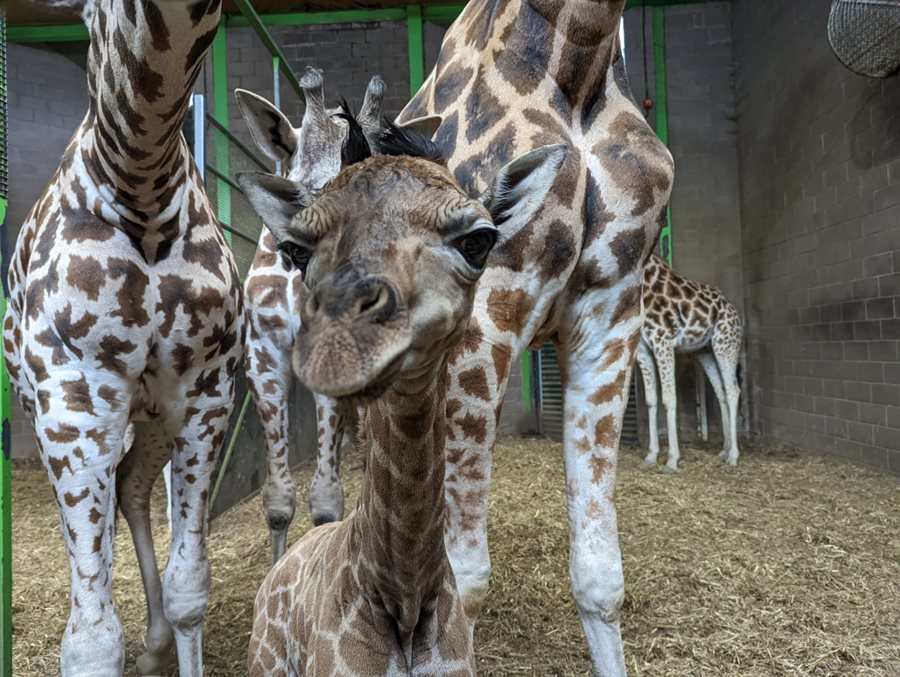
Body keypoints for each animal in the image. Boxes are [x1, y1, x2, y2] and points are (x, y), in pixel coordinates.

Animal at [1, 2, 243, 672]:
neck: (141, 184)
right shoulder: (73, 402)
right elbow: (91, 640)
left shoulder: (205, 393)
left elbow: (191, 589)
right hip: (47, 413)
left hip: (151, 411)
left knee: (131, 487)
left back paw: (156, 647)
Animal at [636, 252, 740, 470]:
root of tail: (732, 309)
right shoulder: (643, 350)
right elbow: (651, 399)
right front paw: (650, 456)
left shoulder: (663, 342)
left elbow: (669, 398)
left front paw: (671, 460)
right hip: (706, 352)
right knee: (721, 392)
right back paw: (725, 450)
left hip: (726, 345)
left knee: (733, 390)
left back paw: (734, 456)